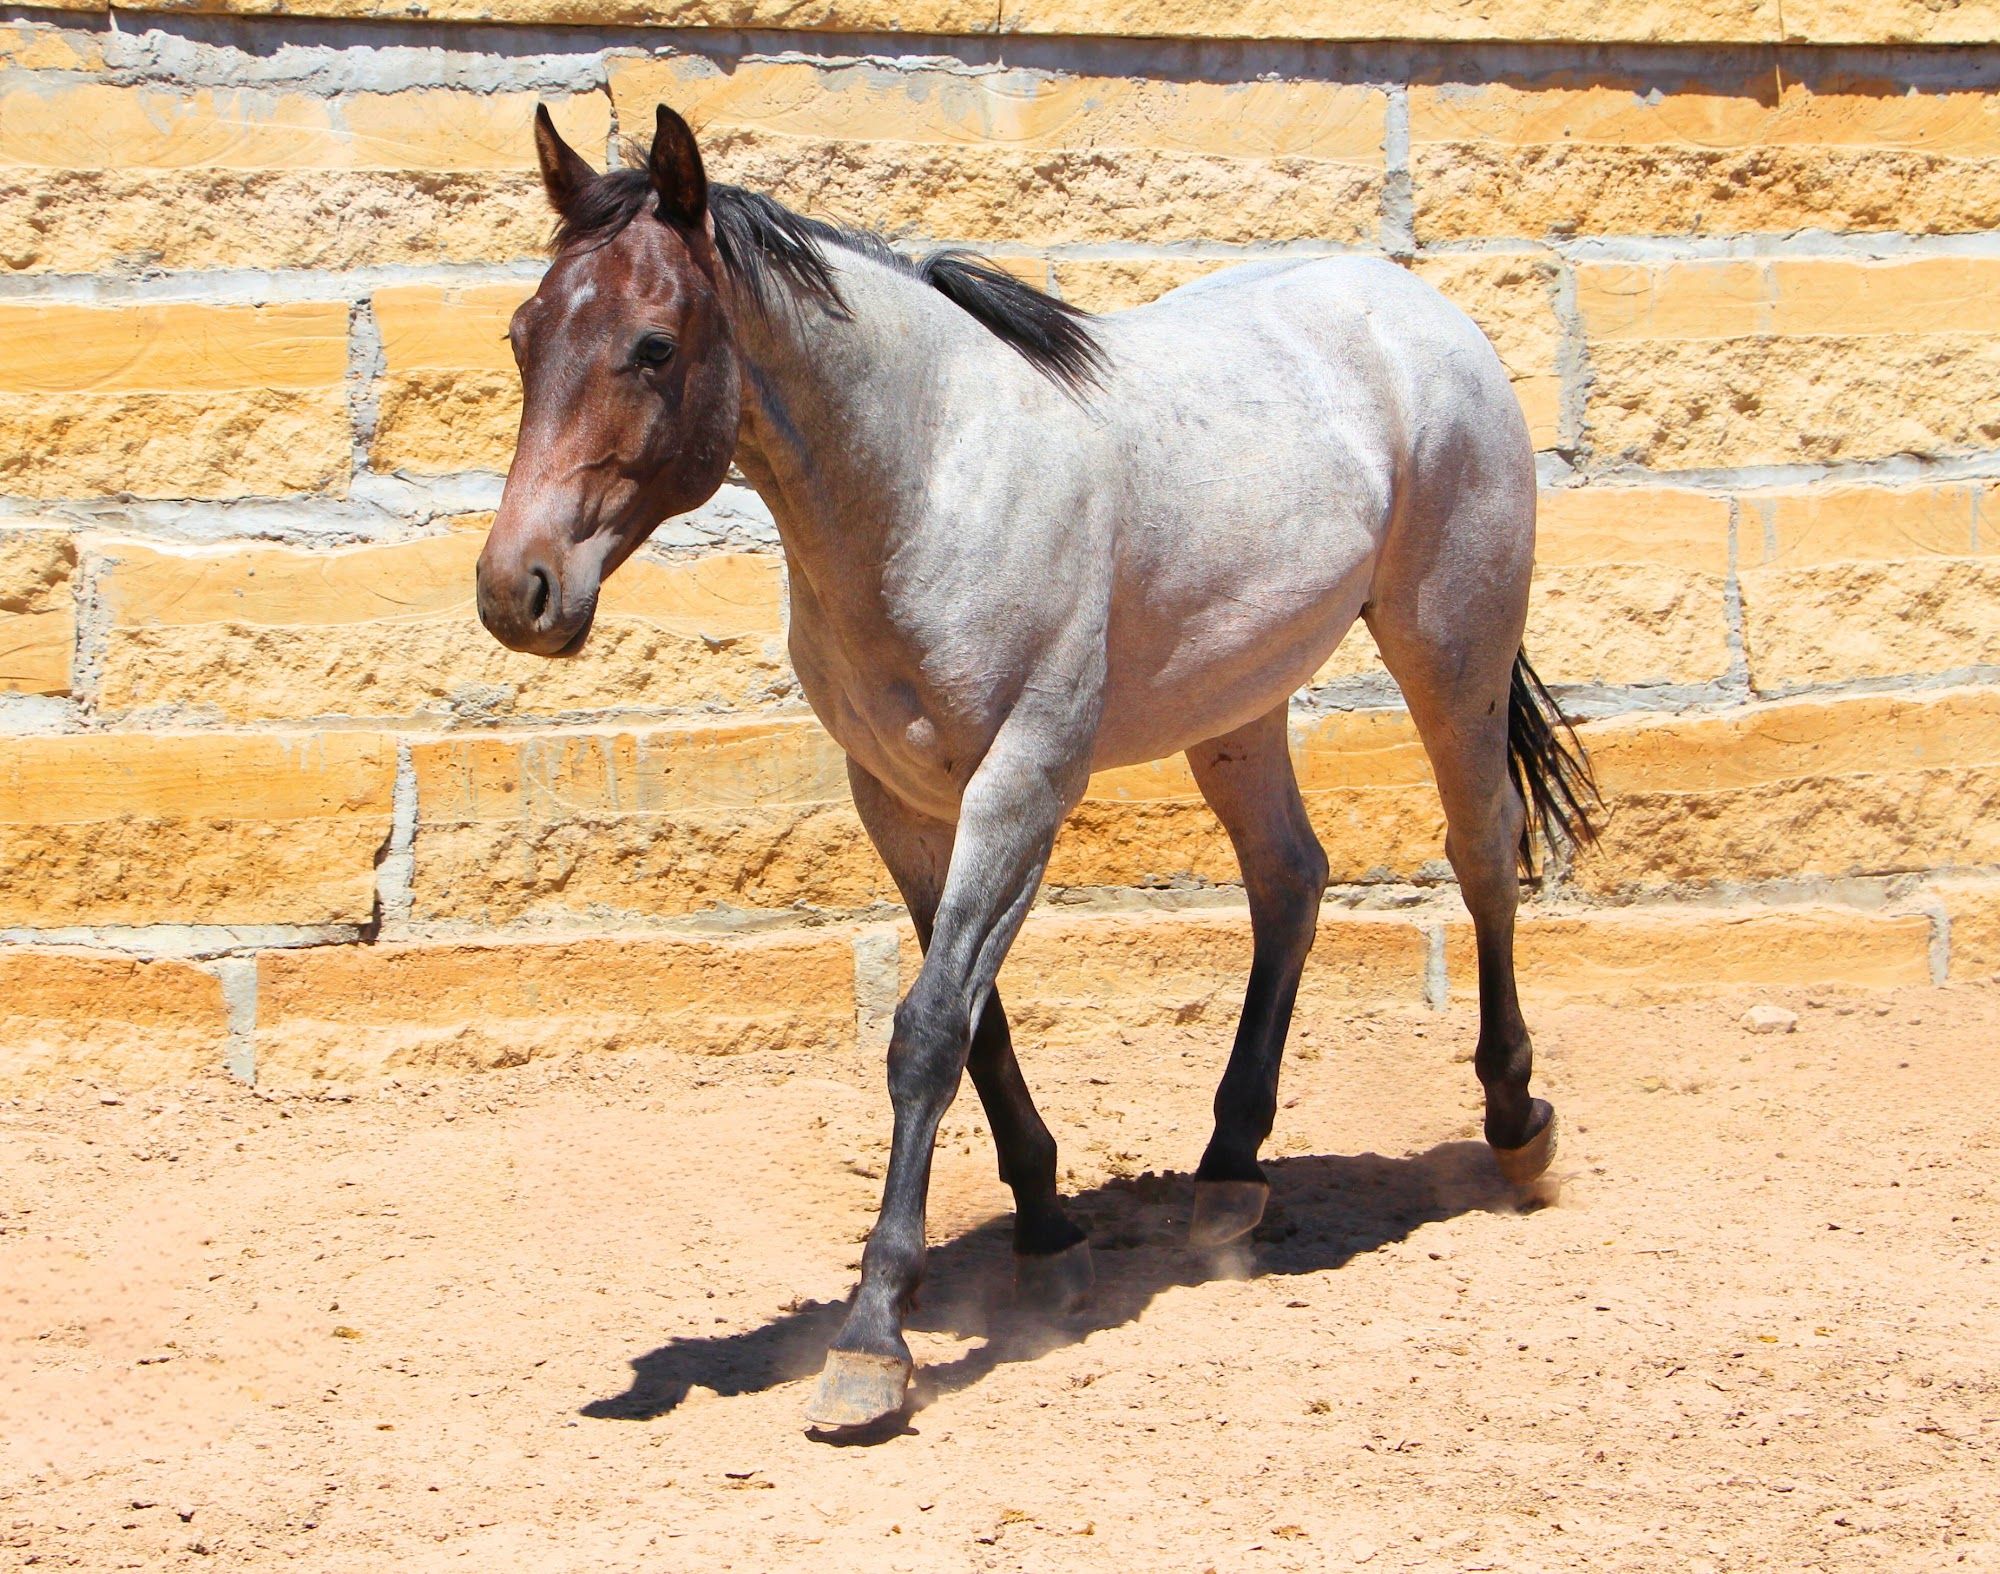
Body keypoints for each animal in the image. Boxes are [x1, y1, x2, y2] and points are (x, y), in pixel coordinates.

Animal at [475, 103, 1597, 1431]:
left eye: (651, 345)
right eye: (524, 334)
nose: (517, 588)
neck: (929, 478)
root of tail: (1419, 308)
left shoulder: (1023, 781)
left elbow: (925, 1031)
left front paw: (872, 1340)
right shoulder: (901, 801)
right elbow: (977, 1022)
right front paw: (1047, 1230)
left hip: (1449, 647)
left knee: (1480, 847)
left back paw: (1513, 1124)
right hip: (1237, 703)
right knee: (1289, 878)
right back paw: (1227, 1176)